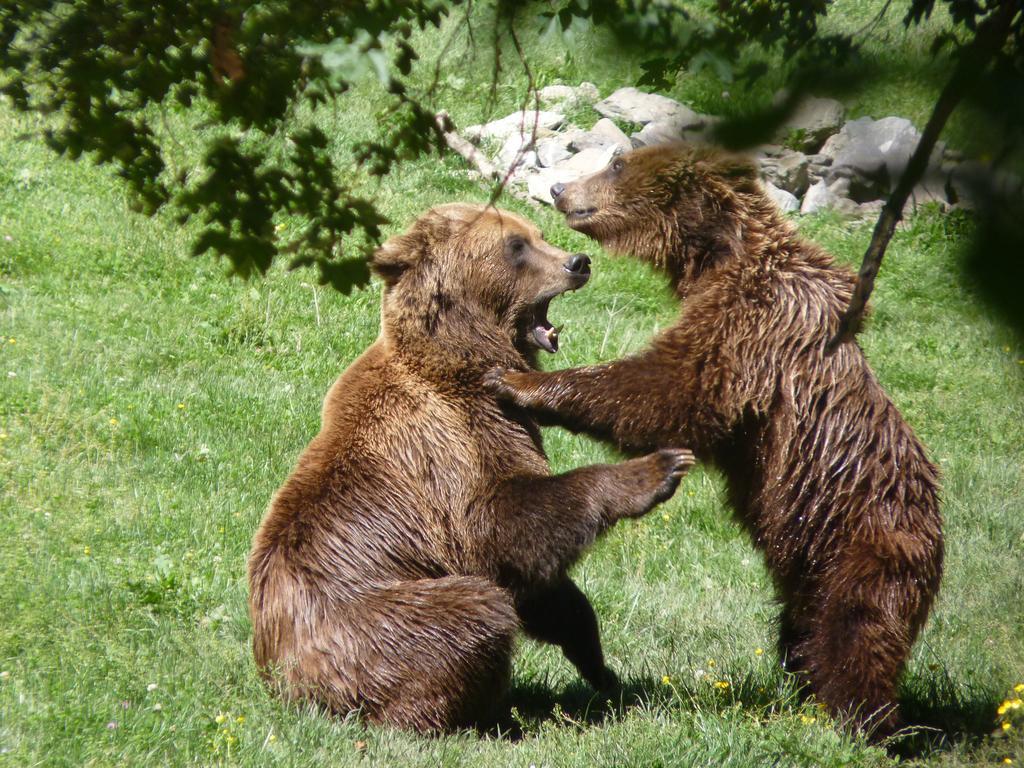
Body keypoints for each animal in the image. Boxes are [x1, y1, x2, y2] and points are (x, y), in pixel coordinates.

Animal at [248, 202, 696, 733]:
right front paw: (660, 467)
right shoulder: (446, 447)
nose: (578, 261)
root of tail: (283, 682)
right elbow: (499, 527)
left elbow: (546, 589)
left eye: (537, 233)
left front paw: (600, 666)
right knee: (472, 613)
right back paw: (477, 717)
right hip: (374, 621)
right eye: (516, 245)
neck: (463, 361)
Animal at [487, 144, 942, 741]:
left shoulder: (753, 323)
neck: (720, 257)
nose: (561, 189)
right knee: (802, 631)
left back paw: (863, 723)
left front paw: (518, 382)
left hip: (862, 546)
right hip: (807, 566)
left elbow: (675, 388)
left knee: (856, 636)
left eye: (616, 163)